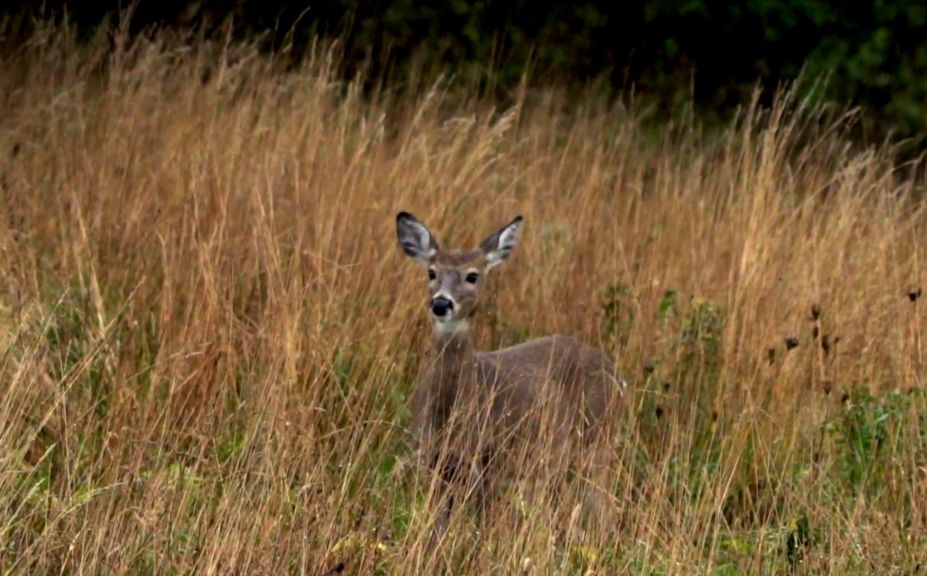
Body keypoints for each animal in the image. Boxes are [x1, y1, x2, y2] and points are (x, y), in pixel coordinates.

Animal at [396, 210, 628, 536]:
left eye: (473, 275)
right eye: (431, 272)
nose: (441, 303)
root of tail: (616, 372)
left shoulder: (490, 462)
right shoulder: (434, 462)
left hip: (597, 440)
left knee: (607, 510)